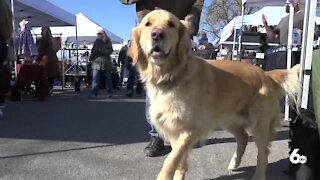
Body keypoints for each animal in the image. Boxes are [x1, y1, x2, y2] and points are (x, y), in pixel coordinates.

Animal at [129, 9, 298, 180]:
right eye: (147, 24)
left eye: (171, 24)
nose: (157, 34)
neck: (172, 76)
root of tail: (266, 74)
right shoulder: (175, 131)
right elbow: (179, 161)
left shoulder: (190, 129)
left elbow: (171, 159)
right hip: (228, 119)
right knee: (243, 137)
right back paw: (234, 163)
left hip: (259, 124)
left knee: (263, 153)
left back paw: (258, 175)